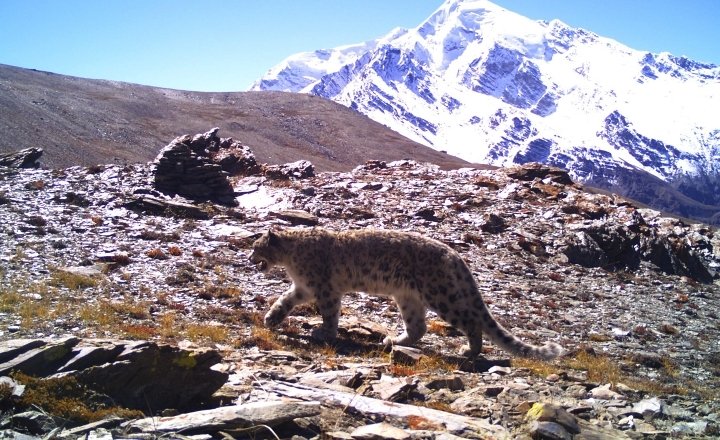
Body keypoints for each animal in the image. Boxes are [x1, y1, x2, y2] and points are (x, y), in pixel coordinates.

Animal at [250, 229, 564, 360]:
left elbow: (329, 313)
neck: (291, 260)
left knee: (471, 321)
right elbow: (284, 300)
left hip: (441, 295)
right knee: (418, 326)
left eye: (256, 247)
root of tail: (455, 254)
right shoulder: (303, 288)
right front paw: (271, 318)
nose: (249, 258)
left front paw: (323, 333)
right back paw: (394, 340)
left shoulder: (325, 289)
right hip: (408, 298)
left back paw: (469, 351)